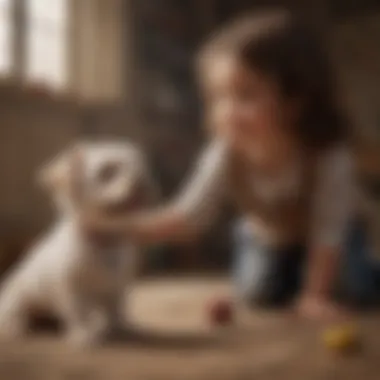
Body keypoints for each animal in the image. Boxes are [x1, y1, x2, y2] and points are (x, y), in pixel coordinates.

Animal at [0, 140, 157, 348]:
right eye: (107, 172)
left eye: (142, 168)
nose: (143, 183)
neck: (105, 241)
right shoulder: (70, 290)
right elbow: (78, 312)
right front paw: (83, 335)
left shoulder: (117, 287)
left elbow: (116, 310)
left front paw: (121, 329)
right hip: (17, 299)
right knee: (15, 315)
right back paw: (18, 328)